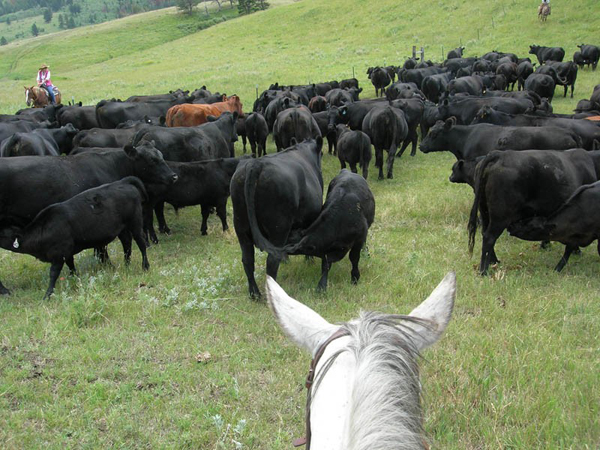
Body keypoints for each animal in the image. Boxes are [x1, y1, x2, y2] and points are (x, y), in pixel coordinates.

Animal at [0, 177, 149, 298]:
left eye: (2, 233)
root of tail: (122, 182)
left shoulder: (59, 254)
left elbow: (53, 274)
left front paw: (47, 294)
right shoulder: (67, 252)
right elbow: (71, 266)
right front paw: (75, 279)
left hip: (135, 222)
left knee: (141, 243)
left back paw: (145, 266)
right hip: (122, 228)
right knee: (127, 243)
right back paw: (127, 264)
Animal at [230, 137, 324, 298]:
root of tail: (257, 163)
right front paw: (309, 260)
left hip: (241, 226)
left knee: (247, 259)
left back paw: (254, 294)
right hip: (279, 226)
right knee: (272, 261)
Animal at [468, 149, 600, 274]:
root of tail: (500, 154)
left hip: (485, 211)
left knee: (485, 233)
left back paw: (494, 261)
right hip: (500, 217)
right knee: (489, 238)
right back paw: (484, 271)